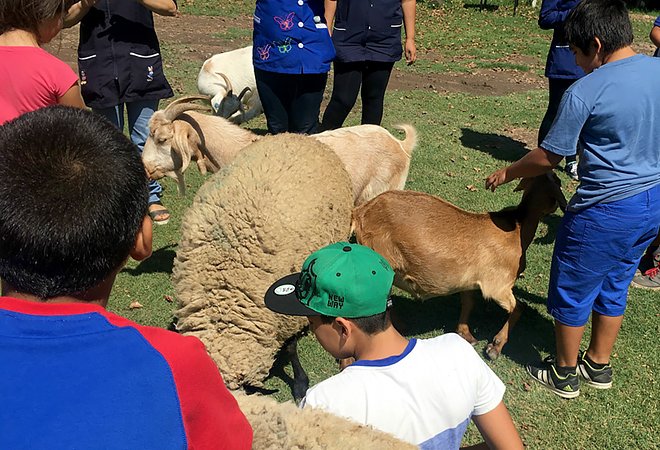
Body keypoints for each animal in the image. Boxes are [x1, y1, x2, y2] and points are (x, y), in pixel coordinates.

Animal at [350, 171, 568, 360]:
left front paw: (466, 334)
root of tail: (361, 212)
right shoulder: (498, 285)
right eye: (557, 182)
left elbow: (468, 302)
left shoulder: (468, 279)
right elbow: (519, 308)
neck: (517, 228)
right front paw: (495, 347)